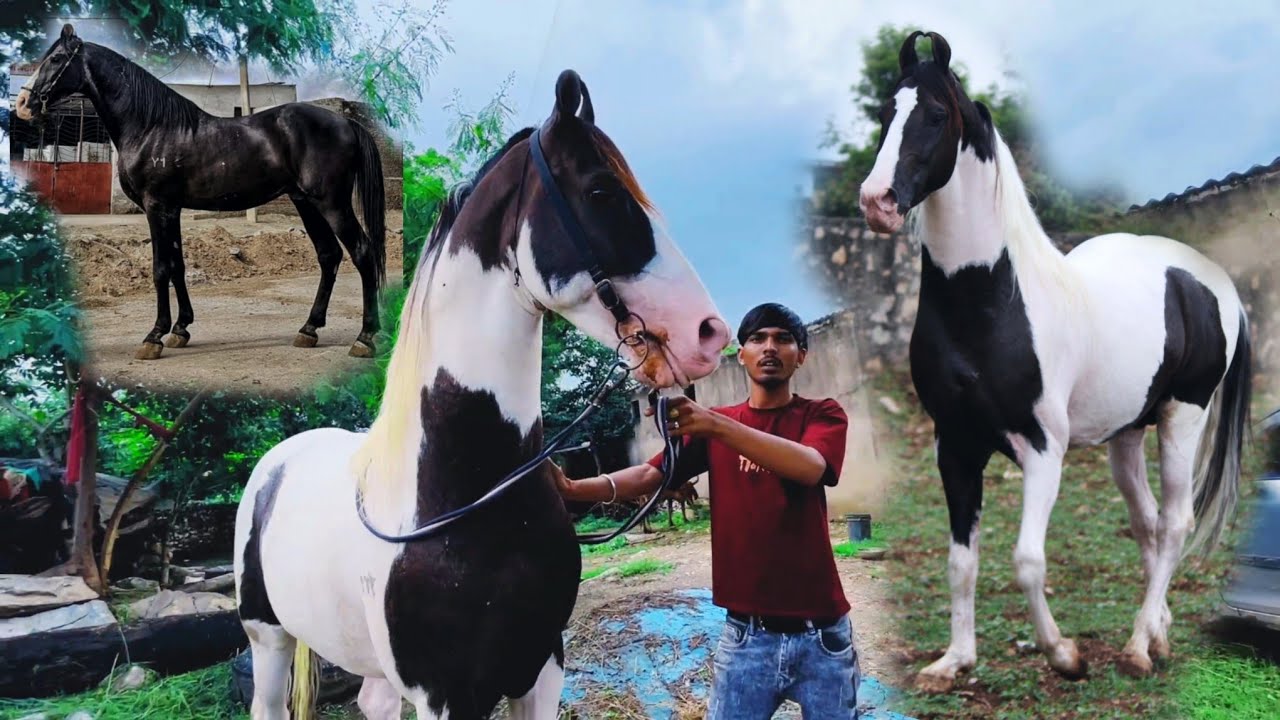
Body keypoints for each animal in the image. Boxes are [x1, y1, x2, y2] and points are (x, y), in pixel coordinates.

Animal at [15, 24, 385, 361]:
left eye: (57, 59)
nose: (22, 103)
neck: (151, 127)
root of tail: (346, 122)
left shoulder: (157, 206)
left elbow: (161, 268)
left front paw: (154, 336)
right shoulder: (173, 209)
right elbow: (177, 265)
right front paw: (181, 329)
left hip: (332, 204)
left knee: (362, 252)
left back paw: (365, 338)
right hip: (306, 202)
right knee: (329, 255)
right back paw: (309, 330)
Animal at [232, 70, 730, 719]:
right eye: (600, 192)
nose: (709, 333)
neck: (460, 495)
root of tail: (280, 458)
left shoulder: (541, 670)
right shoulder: (447, 695)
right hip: (267, 638)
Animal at [858, 32, 1251, 690]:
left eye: (935, 115)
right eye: (887, 112)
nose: (877, 202)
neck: (993, 304)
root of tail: (1211, 280)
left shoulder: (1044, 450)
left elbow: (1026, 560)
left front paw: (1064, 655)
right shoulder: (954, 446)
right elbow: (960, 562)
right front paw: (954, 661)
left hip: (1183, 419)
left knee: (1174, 524)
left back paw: (1138, 648)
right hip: (1127, 434)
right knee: (1146, 522)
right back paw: (1158, 634)